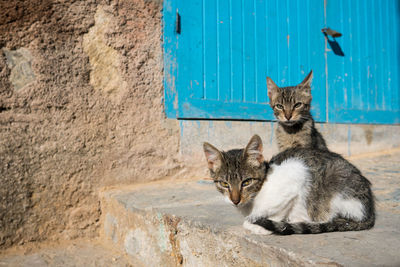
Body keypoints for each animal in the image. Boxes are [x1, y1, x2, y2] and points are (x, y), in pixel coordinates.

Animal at [203, 135, 376, 236]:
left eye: (246, 182)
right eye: (224, 183)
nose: (235, 200)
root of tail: (369, 211)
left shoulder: (296, 173)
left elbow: (277, 210)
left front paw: (260, 225)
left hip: (336, 183)